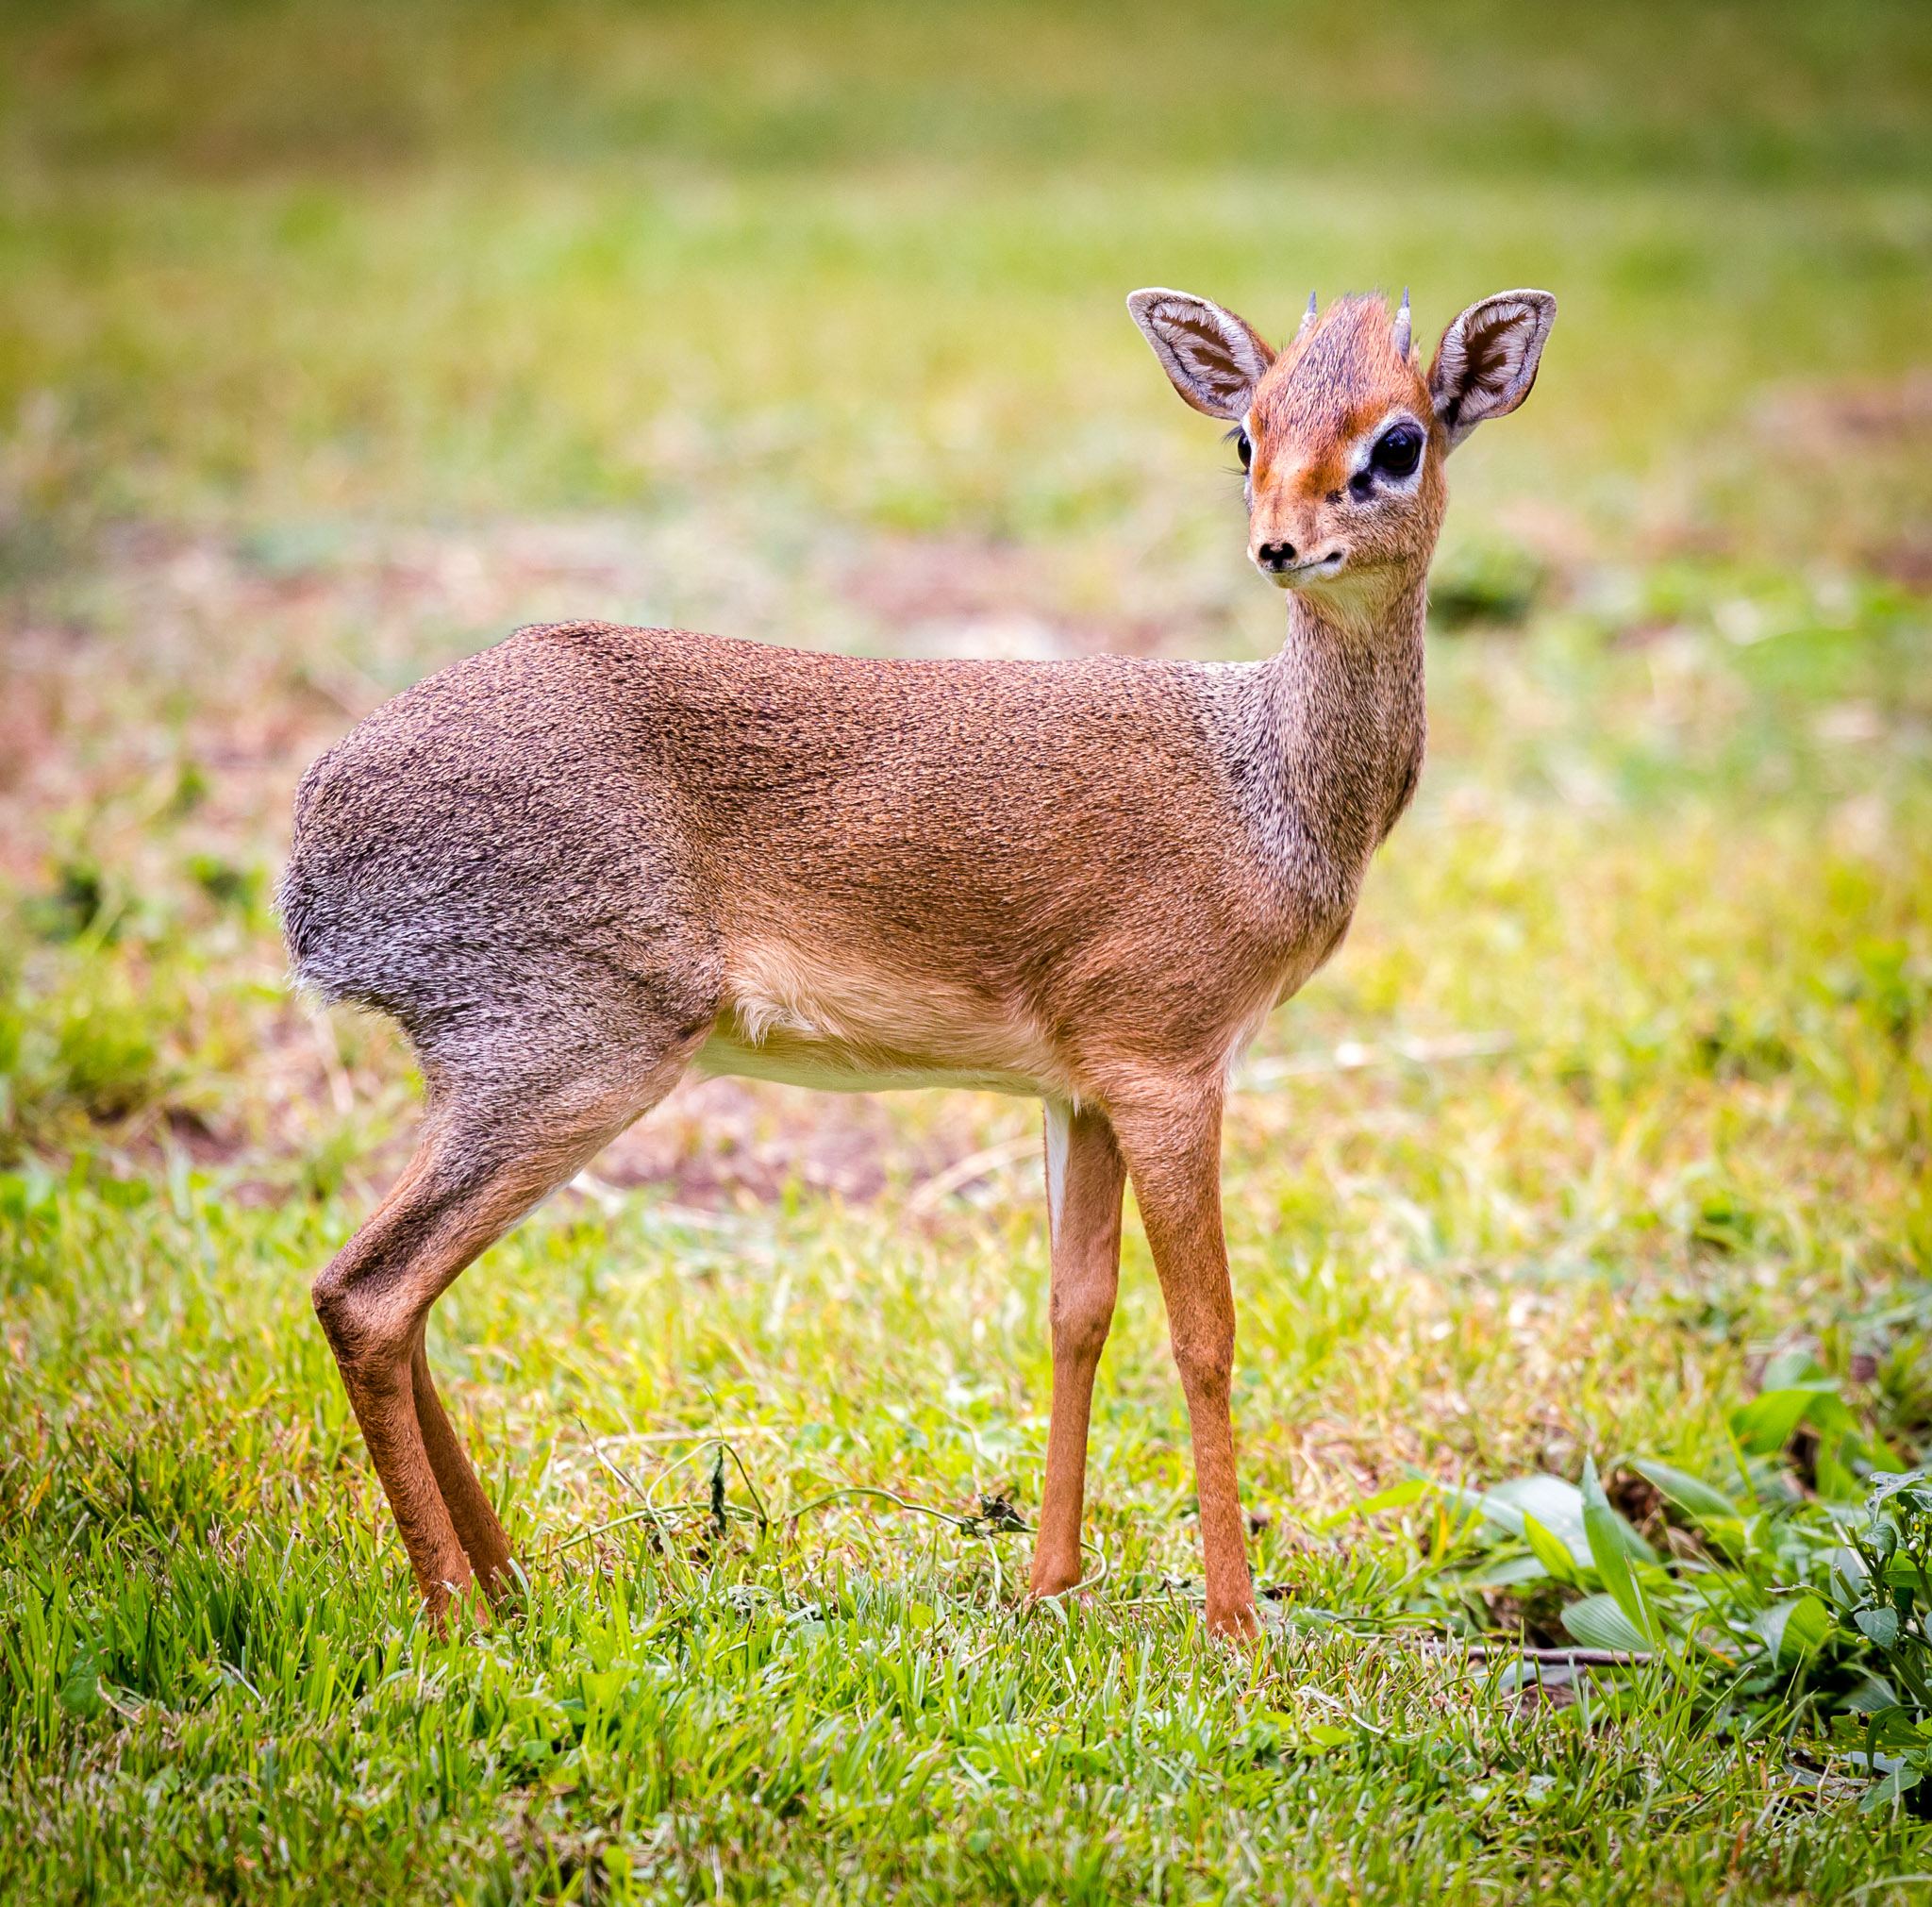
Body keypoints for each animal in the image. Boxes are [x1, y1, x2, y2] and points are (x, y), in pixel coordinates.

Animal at [282, 284, 1553, 1638]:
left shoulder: (1081, 1088)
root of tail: (310, 849)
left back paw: (513, 1584)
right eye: (1247, 434)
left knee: (396, 1300)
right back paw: (457, 1615)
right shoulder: (1170, 1062)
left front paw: (1050, 1586)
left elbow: (1076, 1310)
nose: (1279, 547)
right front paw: (1237, 1630)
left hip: (494, 1076)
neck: (1264, 783)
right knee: (367, 1292)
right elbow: (1203, 1332)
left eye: (1399, 440)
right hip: (572, 1056)